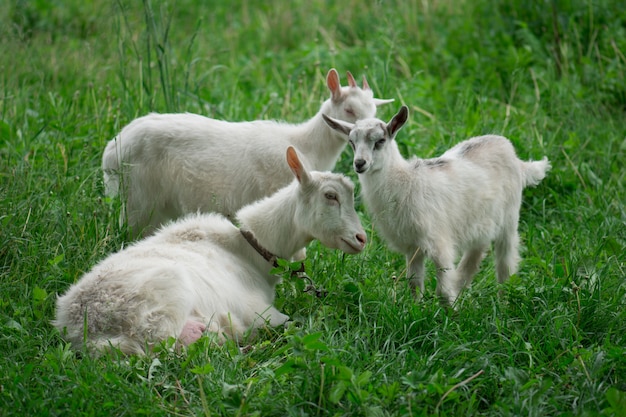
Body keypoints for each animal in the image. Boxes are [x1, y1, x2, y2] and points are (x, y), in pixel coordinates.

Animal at [54, 147, 366, 354]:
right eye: (330, 196)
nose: (361, 238)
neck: (250, 248)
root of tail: (87, 331)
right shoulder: (260, 311)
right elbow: (290, 323)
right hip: (167, 302)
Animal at [324, 105, 548, 304]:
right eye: (351, 142)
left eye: (380, 141)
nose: (359, 164)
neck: (405, 181)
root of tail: (513, 155)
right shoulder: (412, 245)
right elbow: (414, 283)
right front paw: (416, 309)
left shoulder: (439, 241)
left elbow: (442, 289)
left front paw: (452, 313)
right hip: (480, 220)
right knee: (477, 252)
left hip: (509, 218)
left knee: (505, 261)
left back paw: (503, 301)